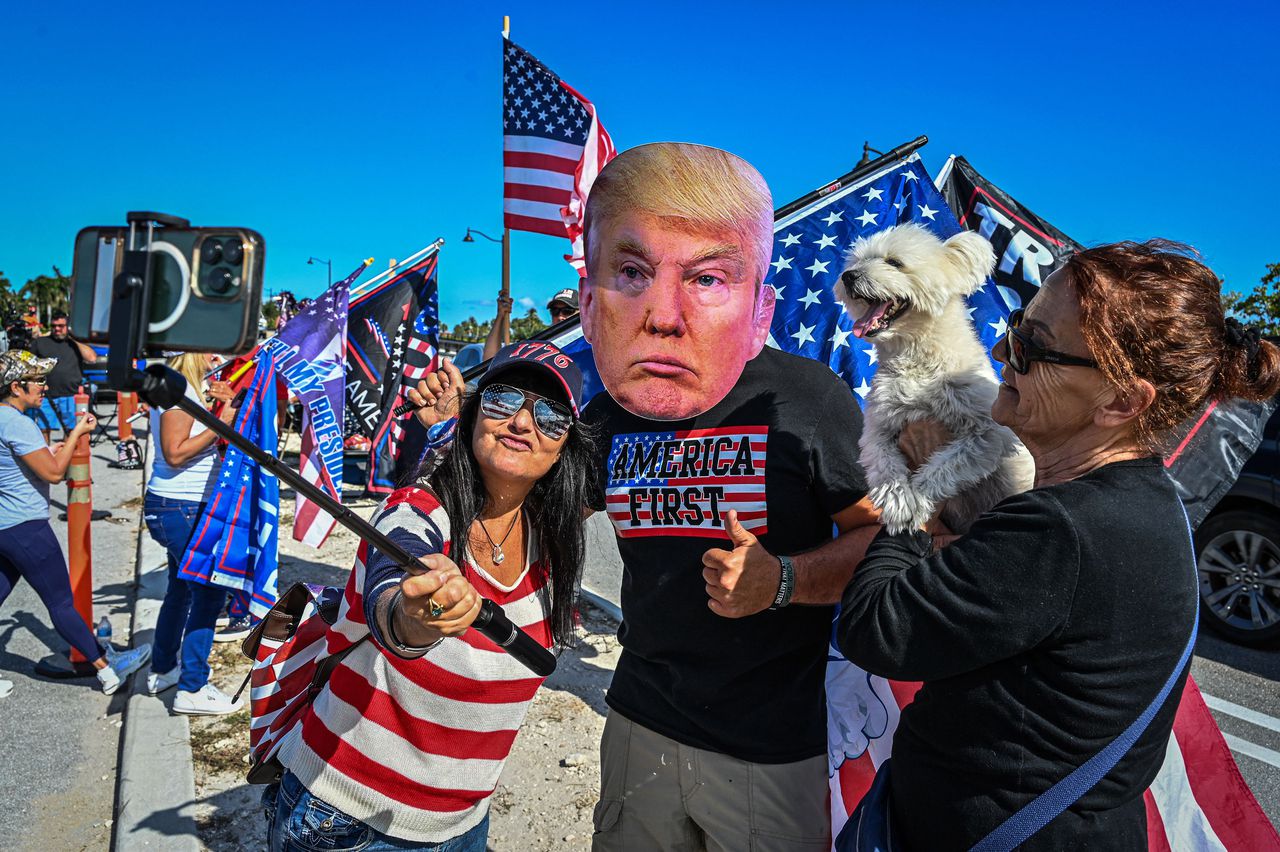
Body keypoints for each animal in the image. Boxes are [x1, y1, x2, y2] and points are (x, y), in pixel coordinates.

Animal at [834, 222, 1034, 534]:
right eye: (857, 262)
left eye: (894, 262)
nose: (848, 276)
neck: (915, 357)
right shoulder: (877, 429)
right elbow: (885, 466)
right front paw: (899, 503)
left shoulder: (989, 433)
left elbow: (947, 465)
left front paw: (917, 498)